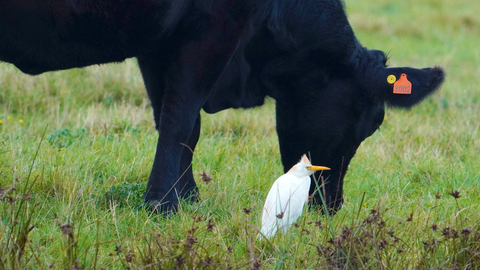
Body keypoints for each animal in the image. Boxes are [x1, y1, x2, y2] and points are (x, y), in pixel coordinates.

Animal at [0, 0, 444, 215]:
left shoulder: (158, 43)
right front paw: (164, 204)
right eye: (370, 122)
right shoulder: (215, 27)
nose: (330, 207)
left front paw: (187, 197)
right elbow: (180, 120)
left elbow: (176, 121)